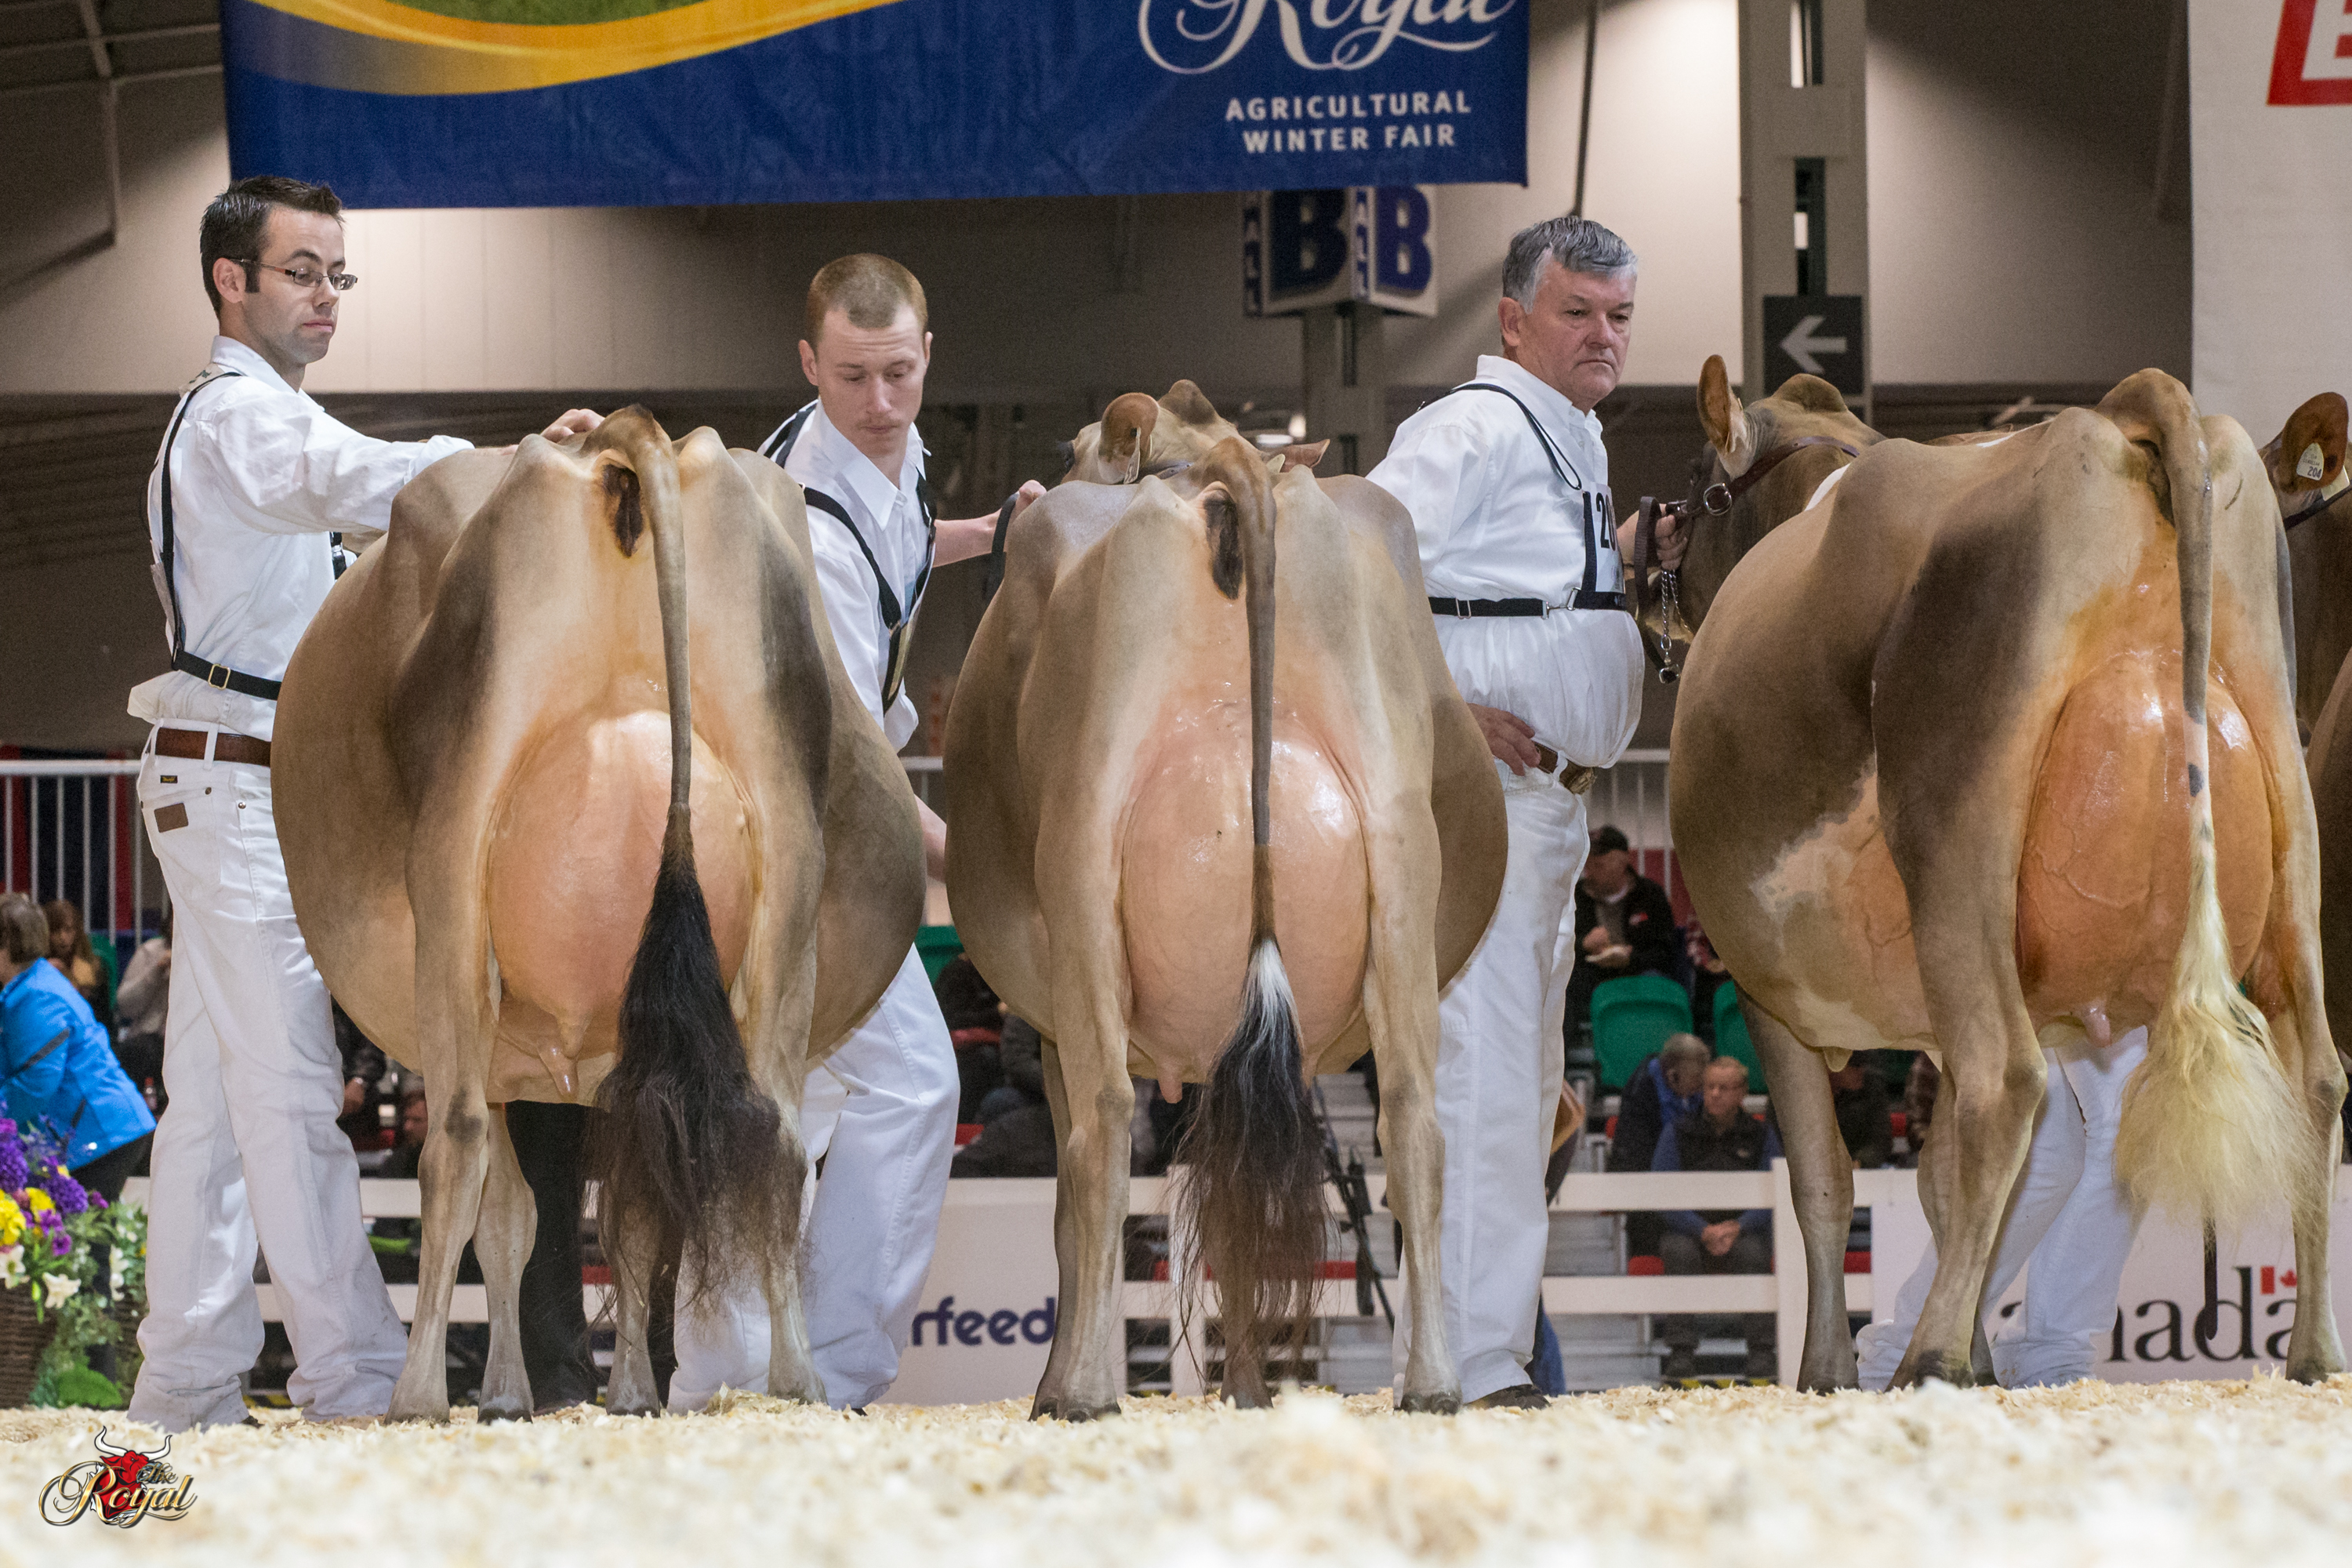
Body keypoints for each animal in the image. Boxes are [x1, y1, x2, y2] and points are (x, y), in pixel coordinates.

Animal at [273, 407, 923, 1421]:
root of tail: (618, 441)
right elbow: (596, 1216)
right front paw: (617, 1391)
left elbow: (514, 1218)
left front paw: (506, 1391)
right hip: (789, 870)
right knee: (773, 1134)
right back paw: (797, 1381)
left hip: (453, 862)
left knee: (452, 1142)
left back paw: (415, 1393)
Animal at [944, 391, 1505, 1418]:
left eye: (1073, 446)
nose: (1047, 478)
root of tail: (1232, 466)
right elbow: (1239, 1181)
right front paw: (1245, 1382)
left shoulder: (1052, 1023)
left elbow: (1077, 1198)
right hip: (1403, 878)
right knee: (1414, 1122)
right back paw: (1433, 1382)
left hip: (1082, 875)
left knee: (1100, 1129)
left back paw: (1082, 1388)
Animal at [1660, 358, 2341, 1391]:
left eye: (1700, 486)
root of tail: (2119, 411)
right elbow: (1938, 1182)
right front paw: (1982, 1353)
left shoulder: (1765, 987)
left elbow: (1825, 1179)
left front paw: (1833, 1365)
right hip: (2289, 821)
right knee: (2319, 1081)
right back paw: (2313, 1351)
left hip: (1955, 833)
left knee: (2007, 1079)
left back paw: (1928, 1356)